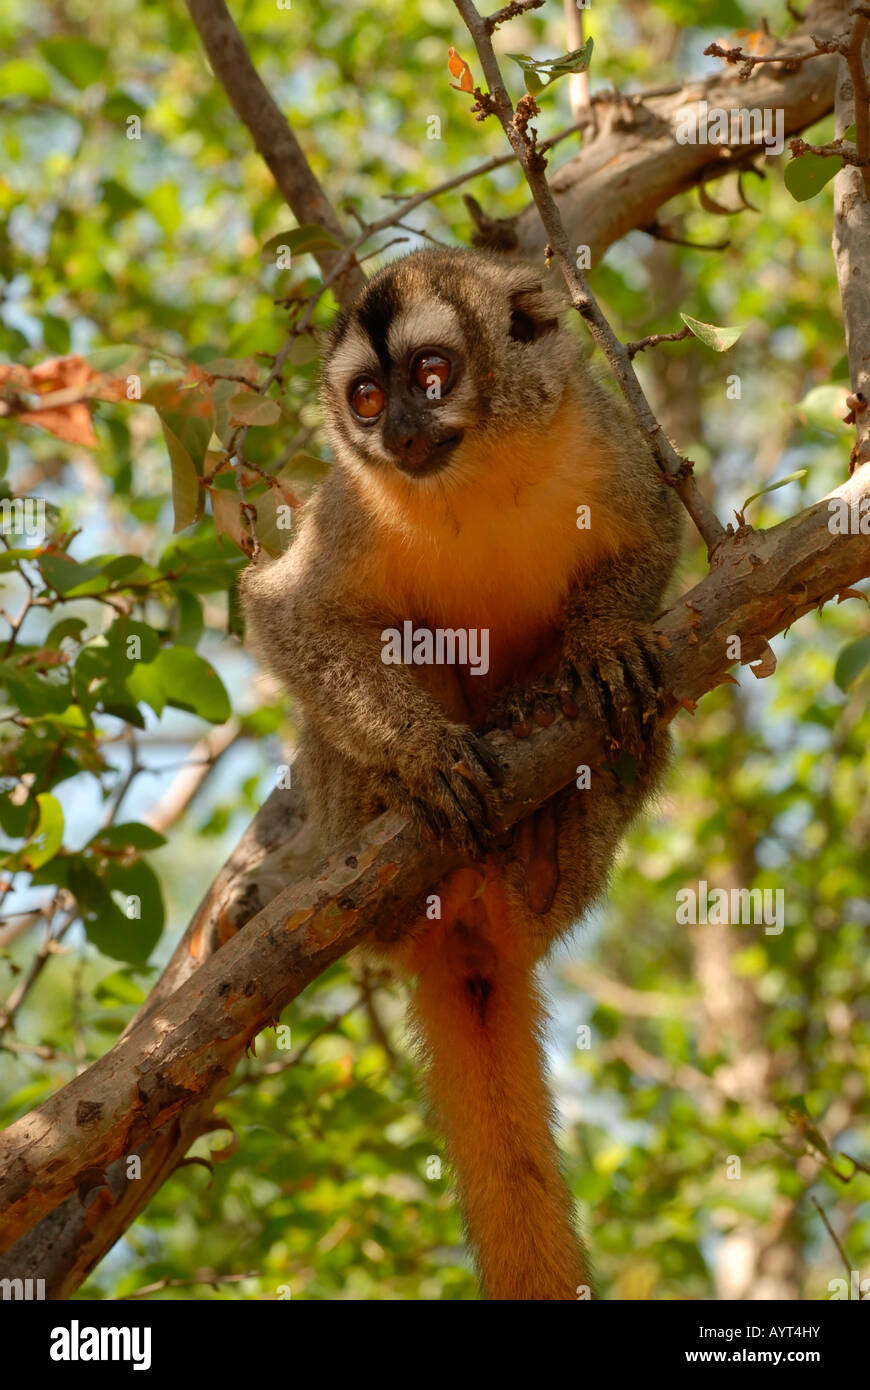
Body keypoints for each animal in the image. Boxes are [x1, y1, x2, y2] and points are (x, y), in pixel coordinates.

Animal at [241, 247, 682, 1301]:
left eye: (432, 376)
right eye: (365, 398)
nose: (399, 430)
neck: (478, 473)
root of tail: (473, 927)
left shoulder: (605, 436)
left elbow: (656, 539)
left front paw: (604, 648)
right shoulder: (348, 509)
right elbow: (286, 614)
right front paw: (424, 756)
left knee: (654, 717)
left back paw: (550, 839)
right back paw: (383, 835)